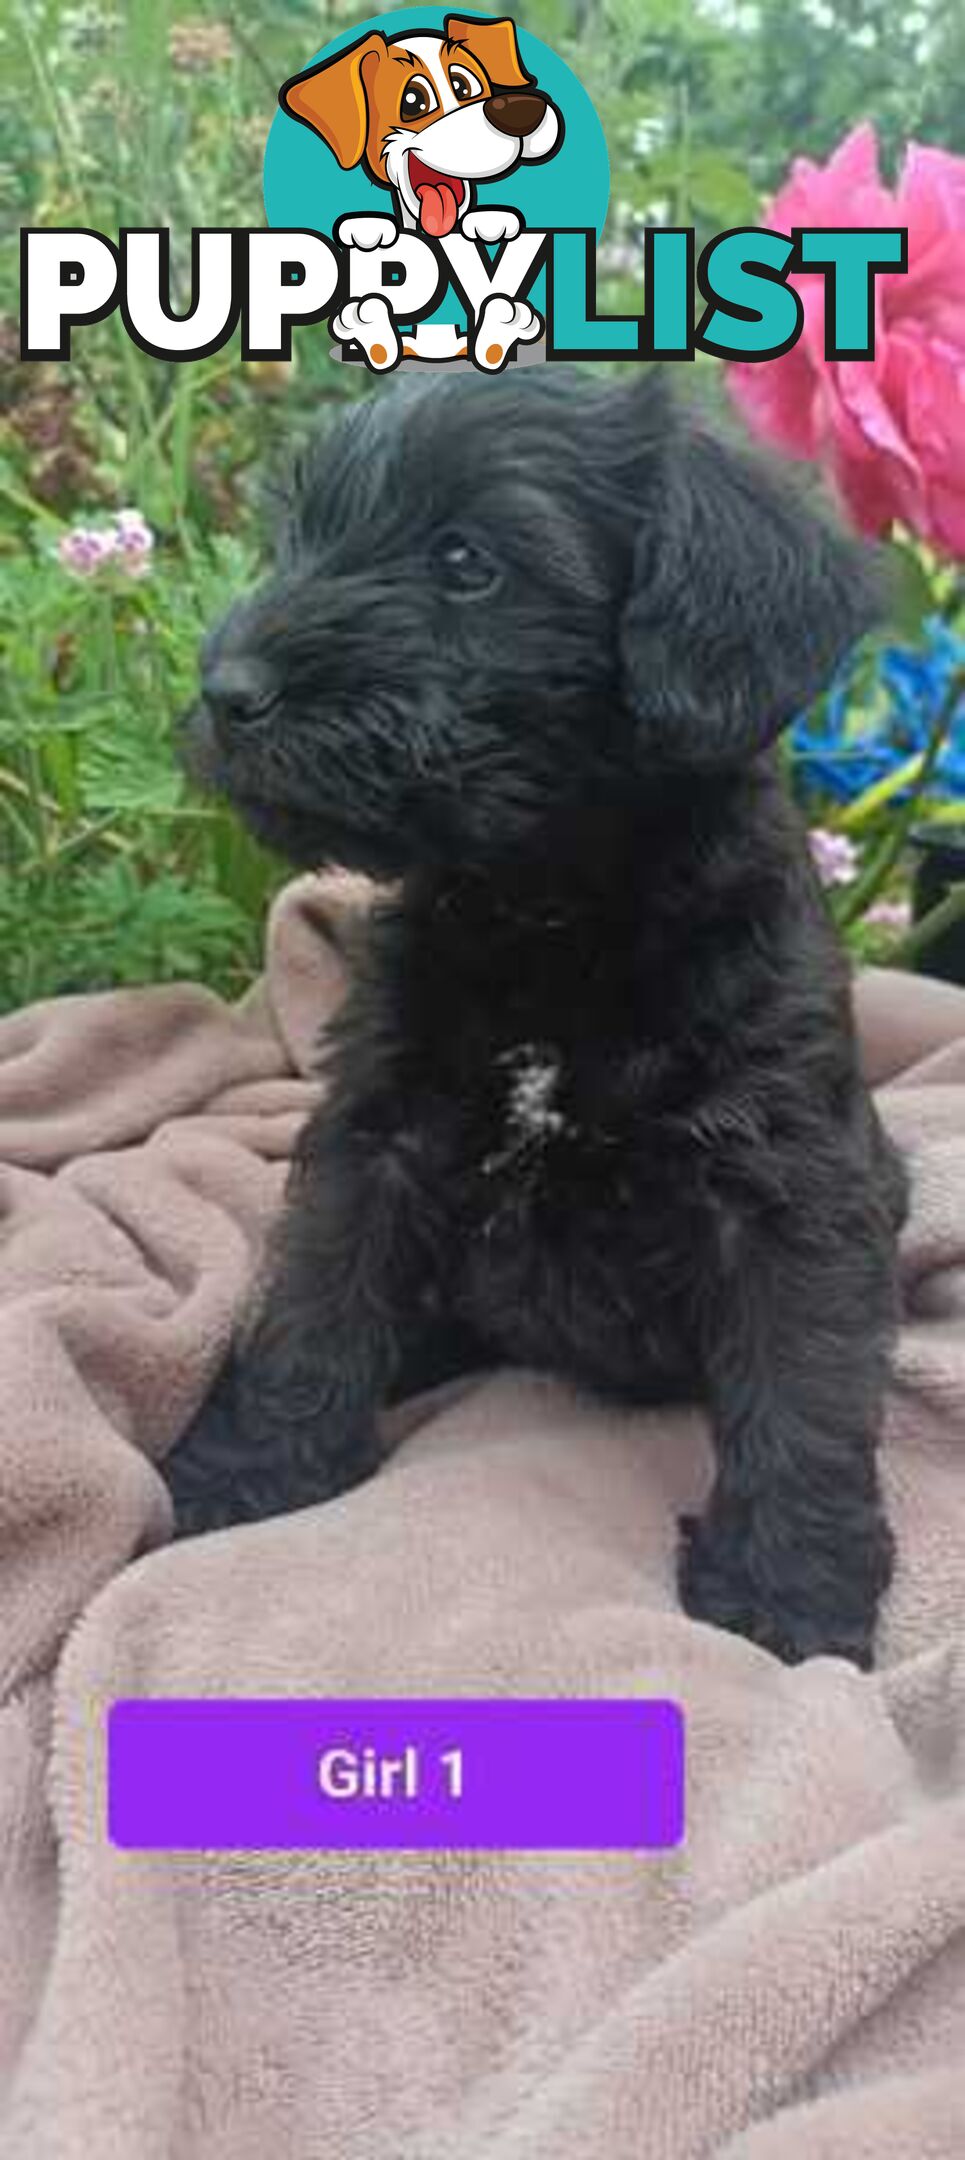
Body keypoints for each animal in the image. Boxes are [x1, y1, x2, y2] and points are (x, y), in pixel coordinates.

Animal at [173, 362, 906, 1658]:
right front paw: (257, 1466)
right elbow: (319, 1296)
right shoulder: (380, 1136)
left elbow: (804, 1386)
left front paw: (787, 1593)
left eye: (467, 561)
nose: (225, 693)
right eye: (297, 536)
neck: (550, 910)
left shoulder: (787, 1190)